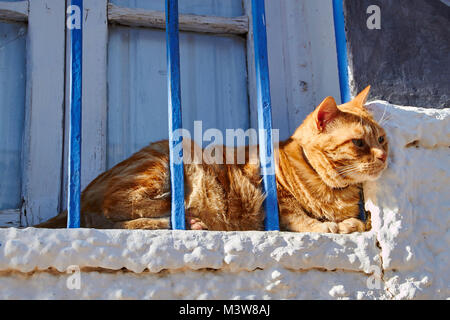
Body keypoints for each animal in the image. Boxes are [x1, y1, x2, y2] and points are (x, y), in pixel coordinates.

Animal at [36, 86, 386, 234]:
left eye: (381, 139)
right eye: (359, 143)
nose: (384, 156)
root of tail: (83, 192)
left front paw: (356, 222)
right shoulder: (269, 190)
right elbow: (299, 217)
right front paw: (331, 226)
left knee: (105, 221)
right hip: (167, 162)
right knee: (117, 209)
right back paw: (181, 213)